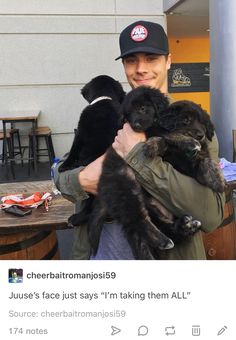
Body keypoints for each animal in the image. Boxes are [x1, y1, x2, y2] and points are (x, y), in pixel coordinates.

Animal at [58, 75, 126, 227]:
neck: (105, 99)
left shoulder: (80, 132)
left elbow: (73, 150)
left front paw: (64, 166)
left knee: (89, 209)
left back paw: (75, 219)